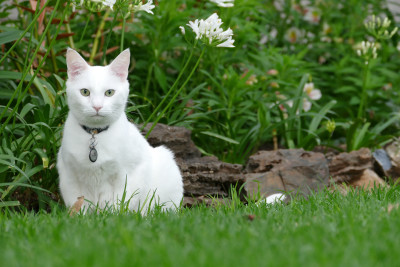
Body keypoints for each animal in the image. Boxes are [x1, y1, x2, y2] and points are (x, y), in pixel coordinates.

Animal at [57, 48, 184, 214]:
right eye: (85, 92)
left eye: (109, 92)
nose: (97, 106)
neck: (95, 134)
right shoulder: (69, 175)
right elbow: (77, 206)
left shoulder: (128, 175)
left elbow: (120, 204)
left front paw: (113, 217)